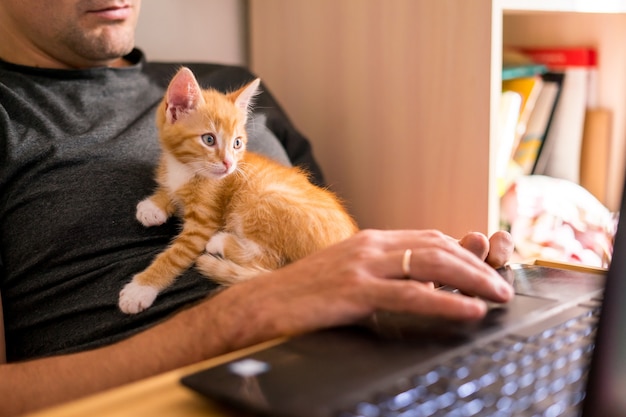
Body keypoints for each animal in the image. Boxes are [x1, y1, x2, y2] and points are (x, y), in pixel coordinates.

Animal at [118, 66, 356, 312]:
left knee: (270, 262)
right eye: (209, 139)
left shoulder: (204, 223)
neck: (185, 168)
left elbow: (176, 254)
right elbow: (171, 191)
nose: (229, 164)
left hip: (261, 200)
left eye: (237, 143)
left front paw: (140, 289)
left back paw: (220, 242)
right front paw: (153, 207)